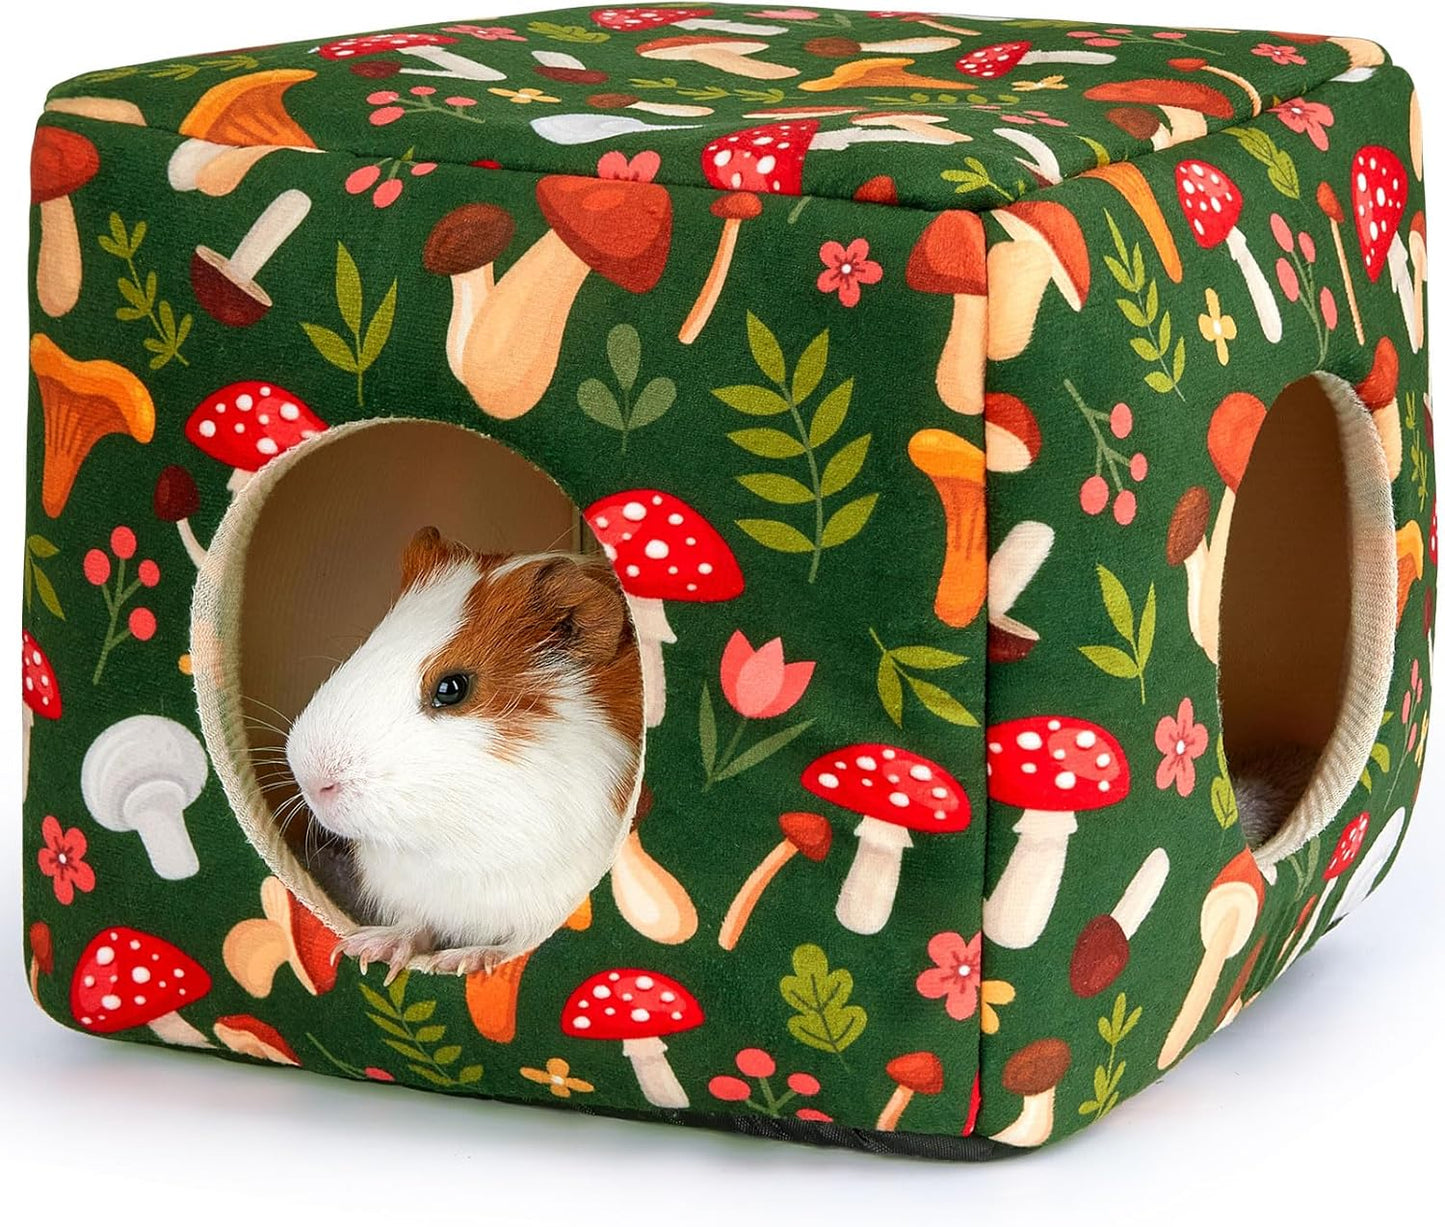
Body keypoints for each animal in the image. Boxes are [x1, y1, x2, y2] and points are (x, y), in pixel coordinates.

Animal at [284, 526, 642, 979]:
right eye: (366, 646)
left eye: (452, 687)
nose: (312, 781)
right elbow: (416, 925)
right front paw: (365, 950)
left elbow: (517, 945)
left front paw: (466, 960)